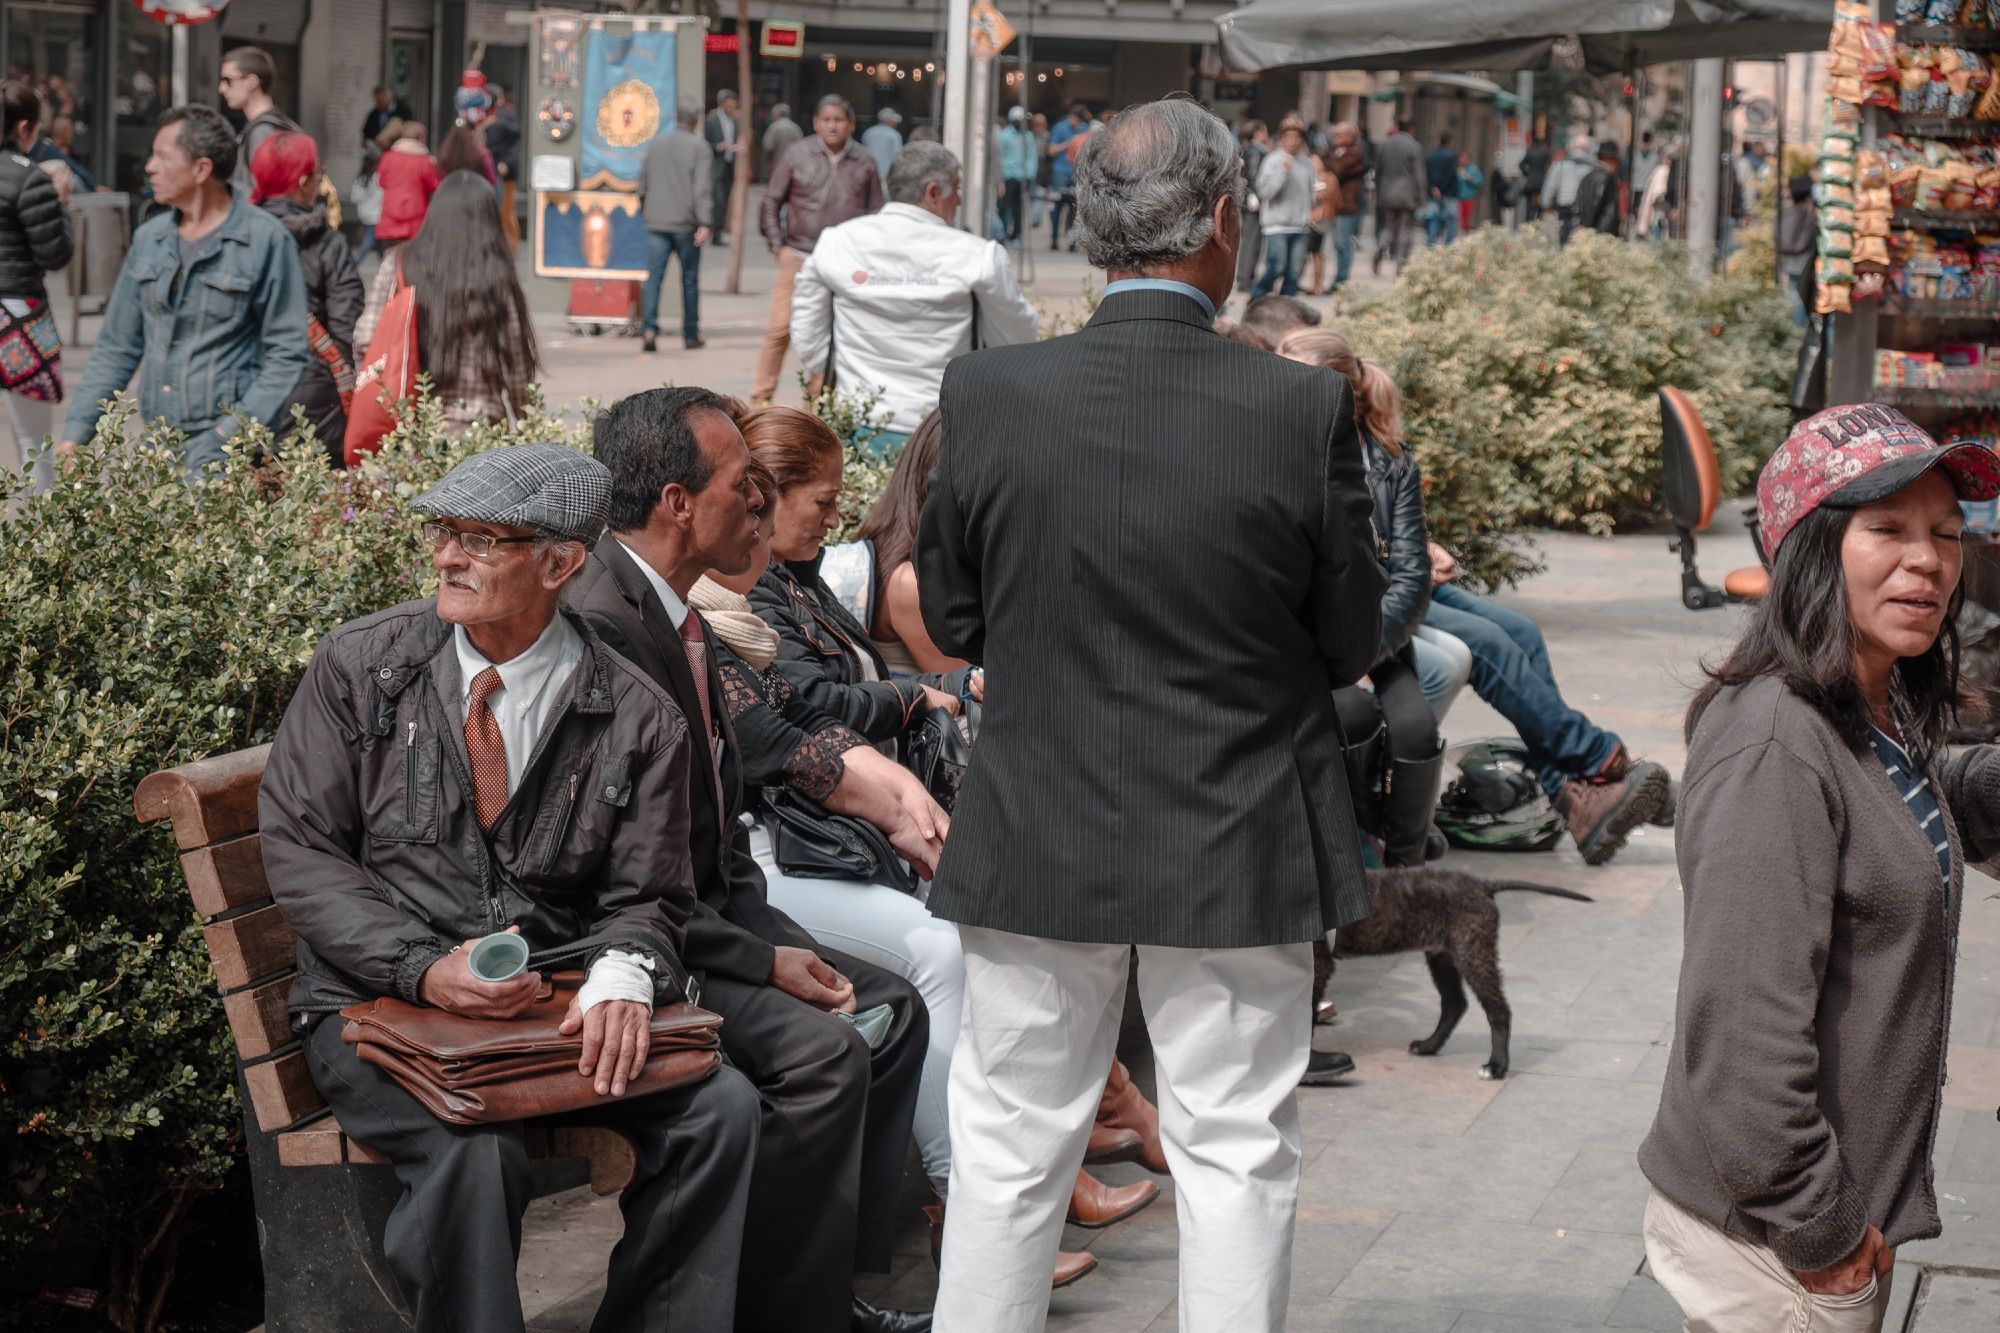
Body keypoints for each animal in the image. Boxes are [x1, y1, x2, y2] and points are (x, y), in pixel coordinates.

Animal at [1312, 868, 1592, 1072]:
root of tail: (1482, 885)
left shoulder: (1319, 964)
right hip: (1443, 955)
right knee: (1455, 1003)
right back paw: (1429, 1046)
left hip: (1473, 951)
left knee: (1498, 1010)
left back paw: (1496, 1066)